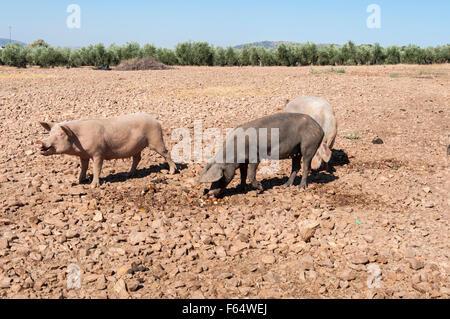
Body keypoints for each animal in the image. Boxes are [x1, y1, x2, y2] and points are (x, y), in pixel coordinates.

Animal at [36, 114, 177, 188]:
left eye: (60, 134)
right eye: (50, 133)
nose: (39, 142)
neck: (78, 139)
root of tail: (155, 120)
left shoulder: (98, 152)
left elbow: (96, 168)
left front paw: (93, 186)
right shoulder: (83, 155)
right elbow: (83, 167)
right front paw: (78, 181)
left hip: (156, 139)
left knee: (166, 153)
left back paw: (172, 172)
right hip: (137, 147)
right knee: (137, 158)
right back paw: (128, 174)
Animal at [199, 112, 328, 198]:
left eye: (220, 178)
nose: (209, 194)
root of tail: (320, 128)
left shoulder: (255, 157)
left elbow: (250, 175)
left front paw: (260, 189)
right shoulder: (243, 162)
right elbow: (243, 175)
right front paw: (242, 189)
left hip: (309, 145)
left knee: (306, 166)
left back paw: (301, 187)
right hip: (295, 151)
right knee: (296, 167)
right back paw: (284, 186)